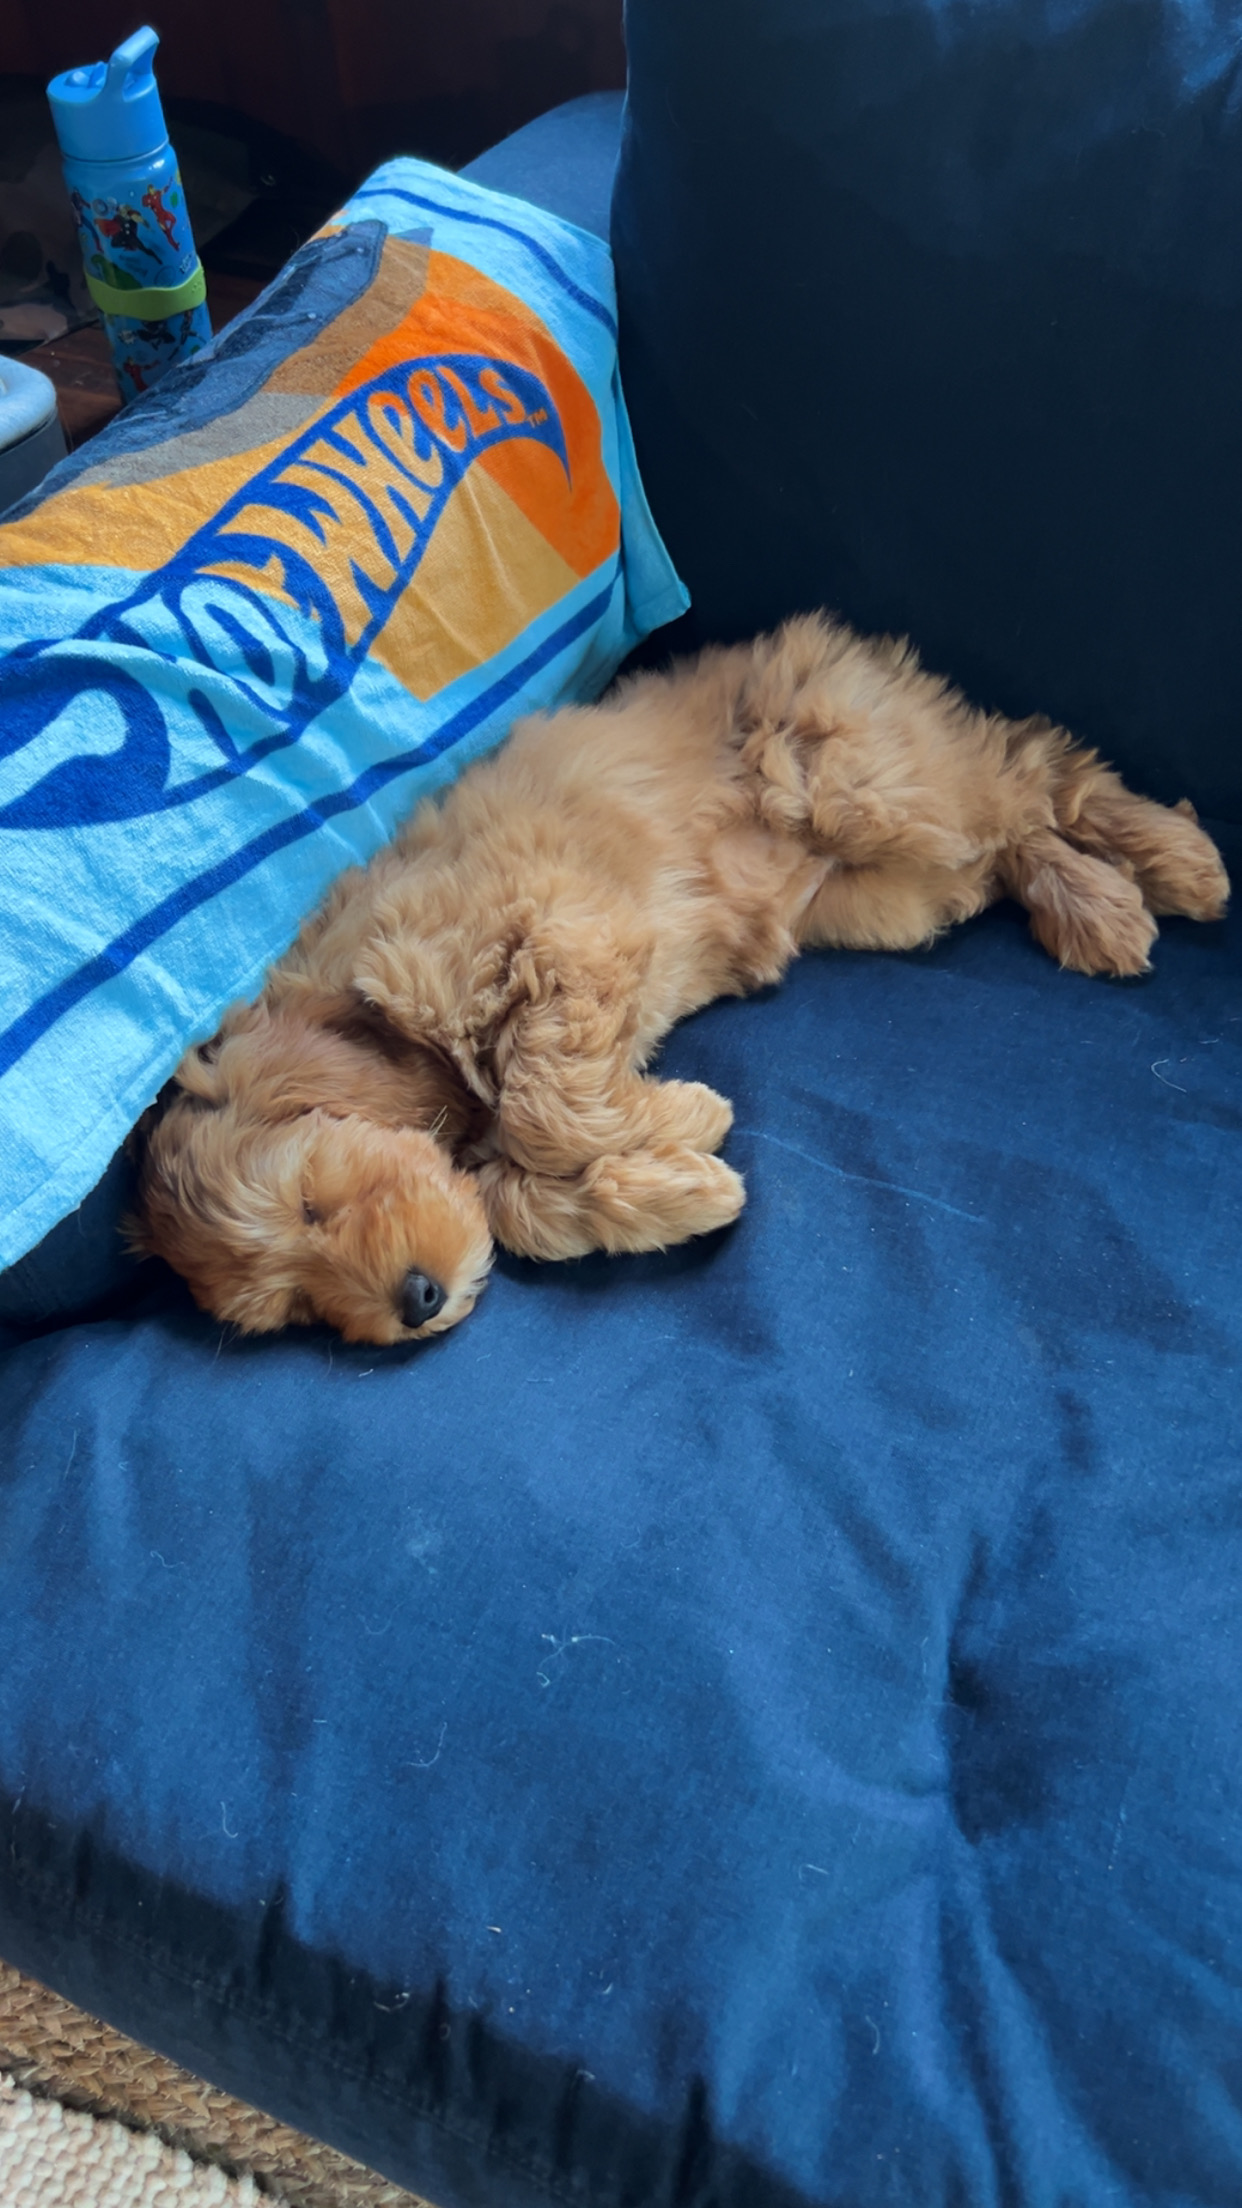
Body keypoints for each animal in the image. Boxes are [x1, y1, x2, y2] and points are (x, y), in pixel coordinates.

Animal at [134, 612, 1230, 1344]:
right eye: (299, 1309)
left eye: (313, 1203)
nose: (415, 1305)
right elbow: (512, 1200)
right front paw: (667, 1186)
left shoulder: (557, 936)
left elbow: (542, 1107)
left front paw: (681, 1123)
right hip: (889, 892)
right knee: (1010, 836)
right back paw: (1096, 899)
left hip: (869, 779)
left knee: (1037, 768)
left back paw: (1169, 859)